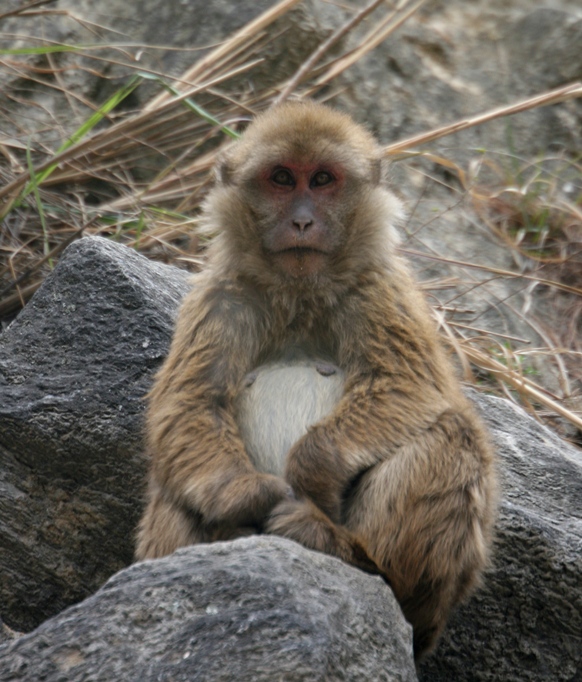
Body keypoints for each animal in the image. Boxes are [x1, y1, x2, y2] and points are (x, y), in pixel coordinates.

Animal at [135, 98, 500, 656]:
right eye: (282, 179)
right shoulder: (220, 298)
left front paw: (311, 475)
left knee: (450, 433)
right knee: (177, 479)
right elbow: (189, 403)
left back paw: (353, 556)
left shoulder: (380, 289)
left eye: (323, 179)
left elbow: (407, 386)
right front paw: (247, 495)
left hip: (435, 599)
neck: (299, 293)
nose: (303, 220)